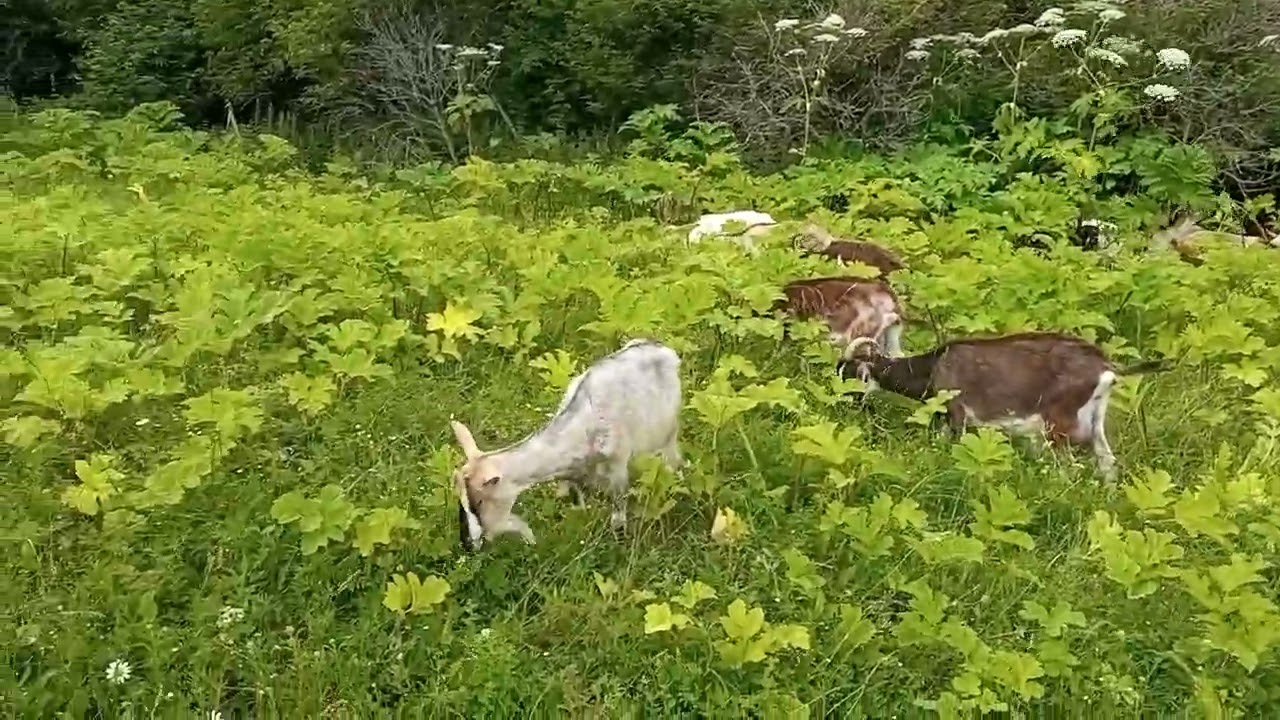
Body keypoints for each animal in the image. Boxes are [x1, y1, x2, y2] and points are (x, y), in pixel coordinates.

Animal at [450, 338, 684, 550]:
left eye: (478, 503)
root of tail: (663, 348)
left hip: (667, 432)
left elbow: (618, 514)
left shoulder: (617, 464)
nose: (467, 544)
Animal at [837, 332, 1170, 480]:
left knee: (1069, 468)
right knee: (1107, 463)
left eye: (851, 375)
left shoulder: (957, 414)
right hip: (1094, 419)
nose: (845, 407)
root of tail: (1106, 367)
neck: (934, 367)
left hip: (1059, 423)